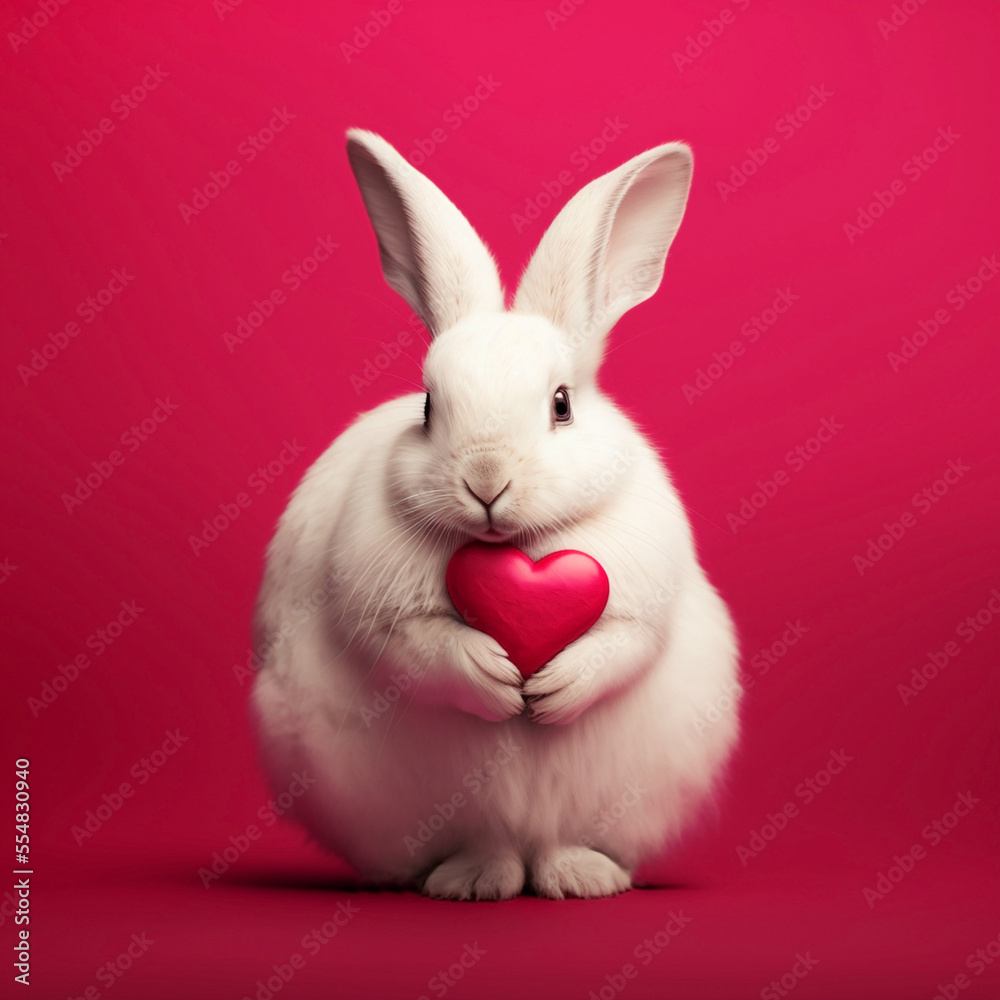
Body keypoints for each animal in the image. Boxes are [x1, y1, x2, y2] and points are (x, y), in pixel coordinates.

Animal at [250, 128, 741, 900]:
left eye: (562, 404)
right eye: (428, 407)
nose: (486, 480)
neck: (518, 541)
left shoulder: (644, 594)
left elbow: (626, 643)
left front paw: (556, 686)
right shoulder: (376, 607)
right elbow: (416, 650)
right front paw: (495, 678)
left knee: (556, 844)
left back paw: (581, 876)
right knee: (489, 844)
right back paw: (473, 879)